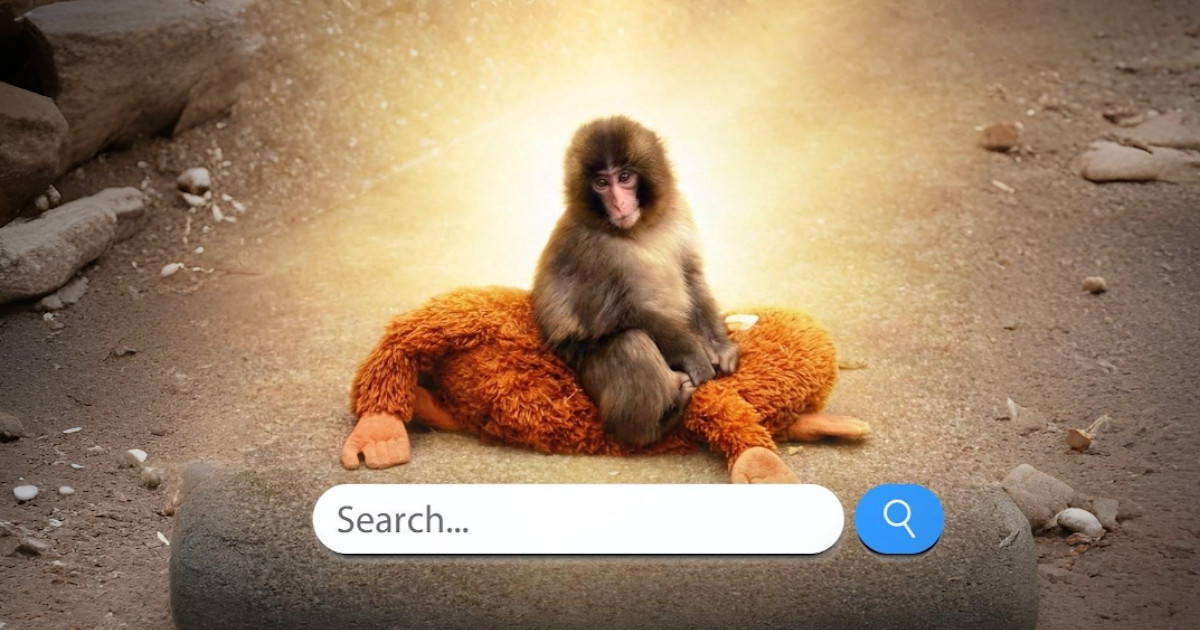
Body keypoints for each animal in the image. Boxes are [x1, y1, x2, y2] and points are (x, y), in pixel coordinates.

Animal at [531, 116, 738, 447]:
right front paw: (694, 354)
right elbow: (616, 316)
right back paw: (657, 421)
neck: (636, 229)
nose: (618, 203)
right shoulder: (587, 250)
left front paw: (719, 345)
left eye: (625, 177)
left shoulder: (678, 212)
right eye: (601, 183)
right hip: (585, 367)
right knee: (630, 342)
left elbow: (692, 275)